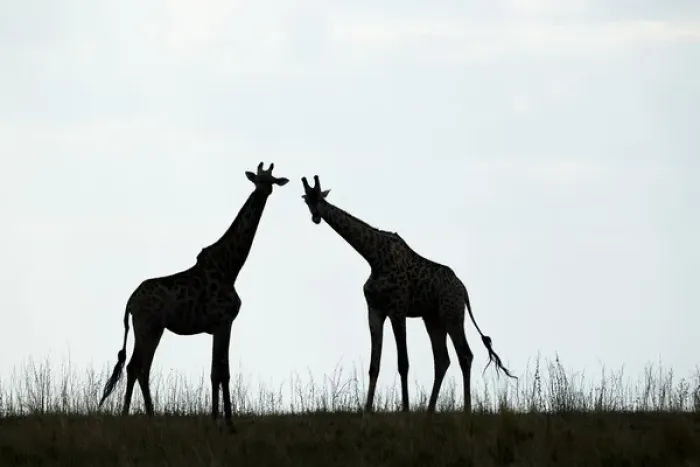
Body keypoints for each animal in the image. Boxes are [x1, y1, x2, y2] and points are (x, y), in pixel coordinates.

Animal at [99, 162, 289, 432]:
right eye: (257, 180)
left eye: (271, 179)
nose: (263, 191)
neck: (230, 267)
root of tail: (130, 302)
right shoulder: (224, 321)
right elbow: (222, 372)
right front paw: (227, 424)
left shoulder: (218, 326)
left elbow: (215, 370)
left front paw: (217, 420)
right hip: (148, 326)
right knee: (135, 365)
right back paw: (130, 417)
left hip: (151, 328)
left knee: (140, 367)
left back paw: (148, 417)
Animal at [300, 175, 515, 414]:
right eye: (307, 200)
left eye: (319, 197)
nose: (316, 217)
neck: (374, 258)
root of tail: (464, 291)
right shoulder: (375, 310)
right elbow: (374, 365)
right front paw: (366, 413)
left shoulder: (397, 309)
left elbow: (403, 363)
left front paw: (405, 411)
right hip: (432, 318)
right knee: (442, 359)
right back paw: (429, 412)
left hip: (452, 314)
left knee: (465, 355)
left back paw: (467, 411)